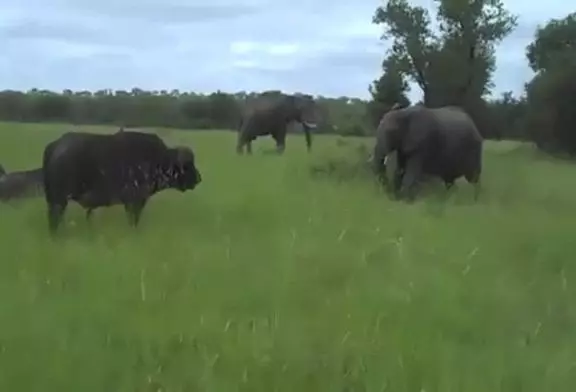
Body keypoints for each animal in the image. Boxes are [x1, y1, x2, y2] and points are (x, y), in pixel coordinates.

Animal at [42, 130, 201, 234]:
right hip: (59, 201)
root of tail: (55, 146)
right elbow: (133, 220)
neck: (158, 160)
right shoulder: (135, 202)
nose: (199, 178)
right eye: (187, 165)